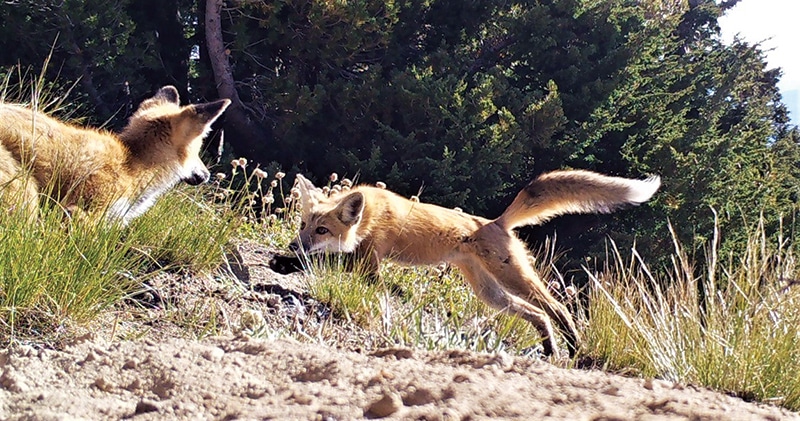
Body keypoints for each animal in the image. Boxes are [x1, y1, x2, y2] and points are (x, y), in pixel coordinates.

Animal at [272, 171, 660, 358]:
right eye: (303, 225)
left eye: (322, 229)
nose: (293, 243)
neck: (370, 216)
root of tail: (496, 222)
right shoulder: (362, 260)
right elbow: (319, 263)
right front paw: (286, 260)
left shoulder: (369, 264)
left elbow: (321, 266)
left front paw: (285, 264)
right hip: (491, 293)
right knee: (538, 315)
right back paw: (550, 349)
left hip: (513, 278)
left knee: (557, 308)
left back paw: (575, 346)